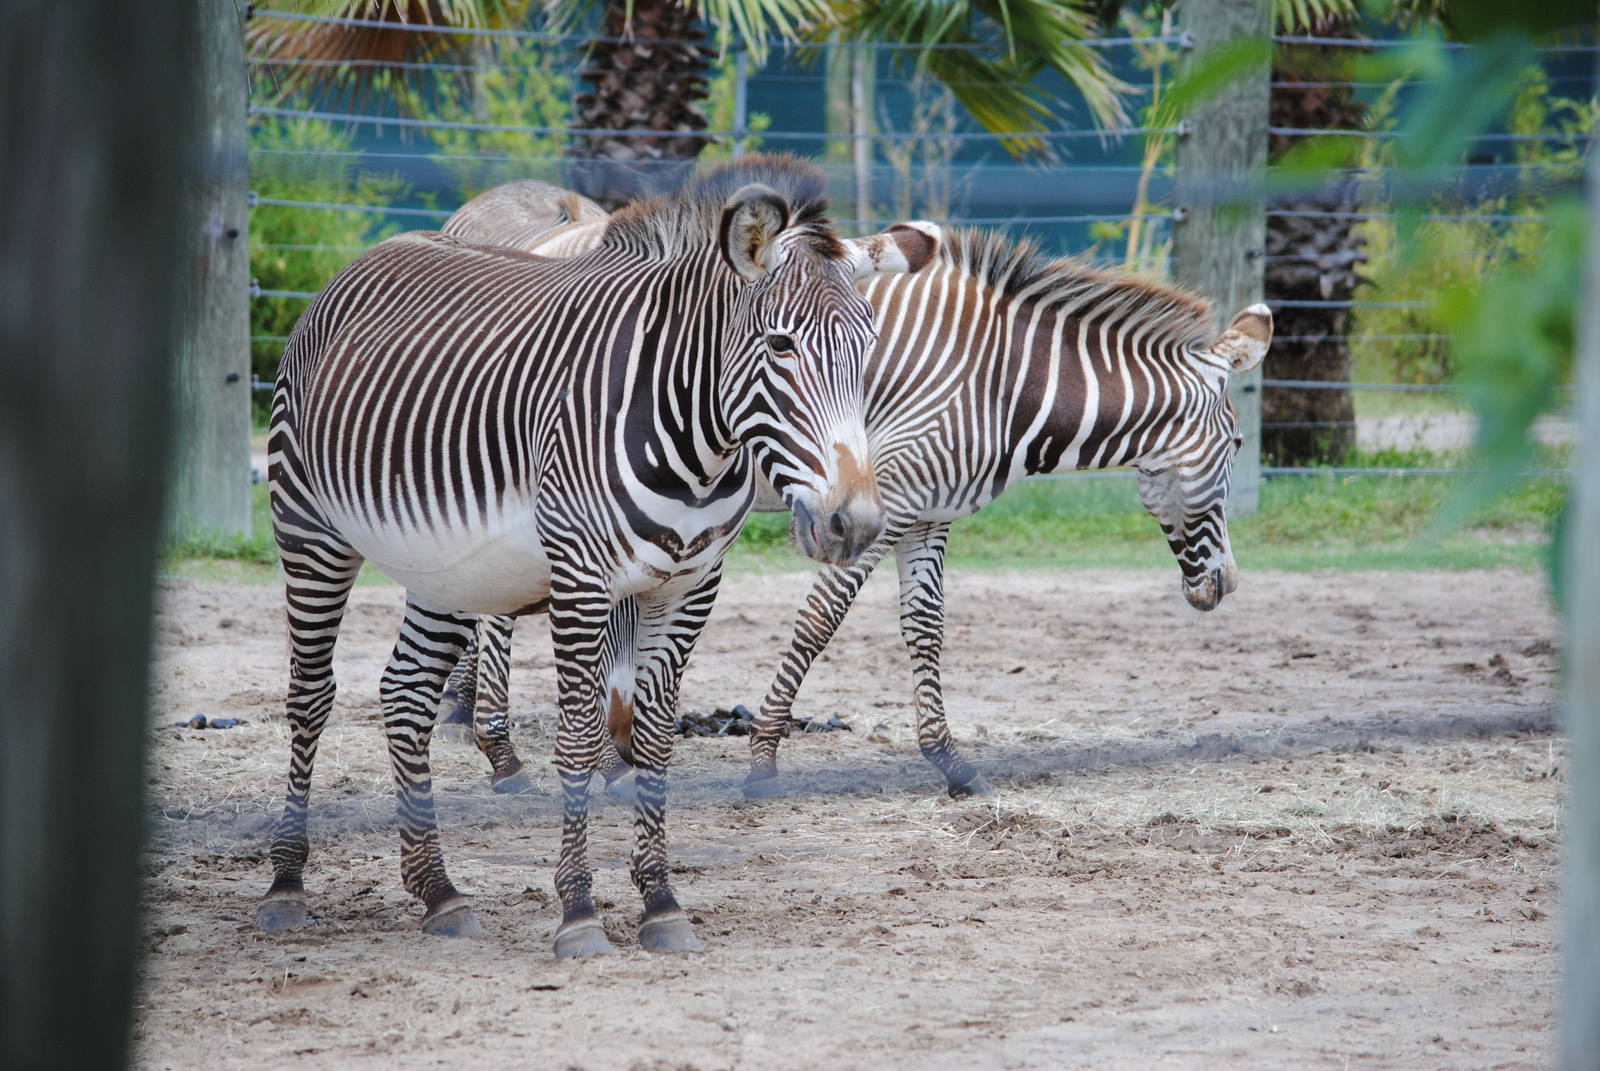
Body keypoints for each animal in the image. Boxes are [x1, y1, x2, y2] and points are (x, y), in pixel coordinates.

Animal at [258, 154, 939, 959]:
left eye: (868, 350)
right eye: (780, 346)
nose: (854, 522)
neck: (698, 445)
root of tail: (379, 250)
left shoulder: (691, 585)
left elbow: (652, 738)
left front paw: (661, 901)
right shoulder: (581, 581)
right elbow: (580, 737)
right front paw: (579, 910)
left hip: (447, 565)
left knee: (405, 694)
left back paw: (439, 890)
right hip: (308, 528)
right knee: (310, 694)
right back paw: (286, 882)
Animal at [436, 211, 1271, 802]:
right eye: (1235, 444)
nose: (1227, 584)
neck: (1001, 382)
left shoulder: (929, 514)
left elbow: (926, 629)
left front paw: (952, 762)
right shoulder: (880, 507)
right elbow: (818, 623)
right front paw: (764, 756)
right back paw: (503, 753)